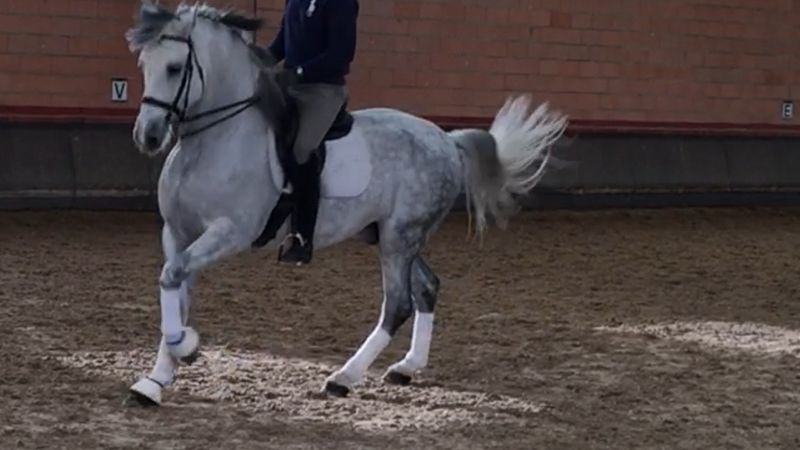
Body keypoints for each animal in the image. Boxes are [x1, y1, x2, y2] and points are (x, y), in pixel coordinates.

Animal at [124, 0, 568, 406]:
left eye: (175, 68)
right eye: (145, 63)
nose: (148, 136)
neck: (213, 140)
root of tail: (447, 140)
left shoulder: (230, 232)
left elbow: (171, 277)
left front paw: (187, 348)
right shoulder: (178, 233)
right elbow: (175, 288)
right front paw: (158, 379)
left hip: (400, 238)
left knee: (398, 304)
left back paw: (343, 378)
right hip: (388, 235)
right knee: (426, 288)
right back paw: (405, 368)